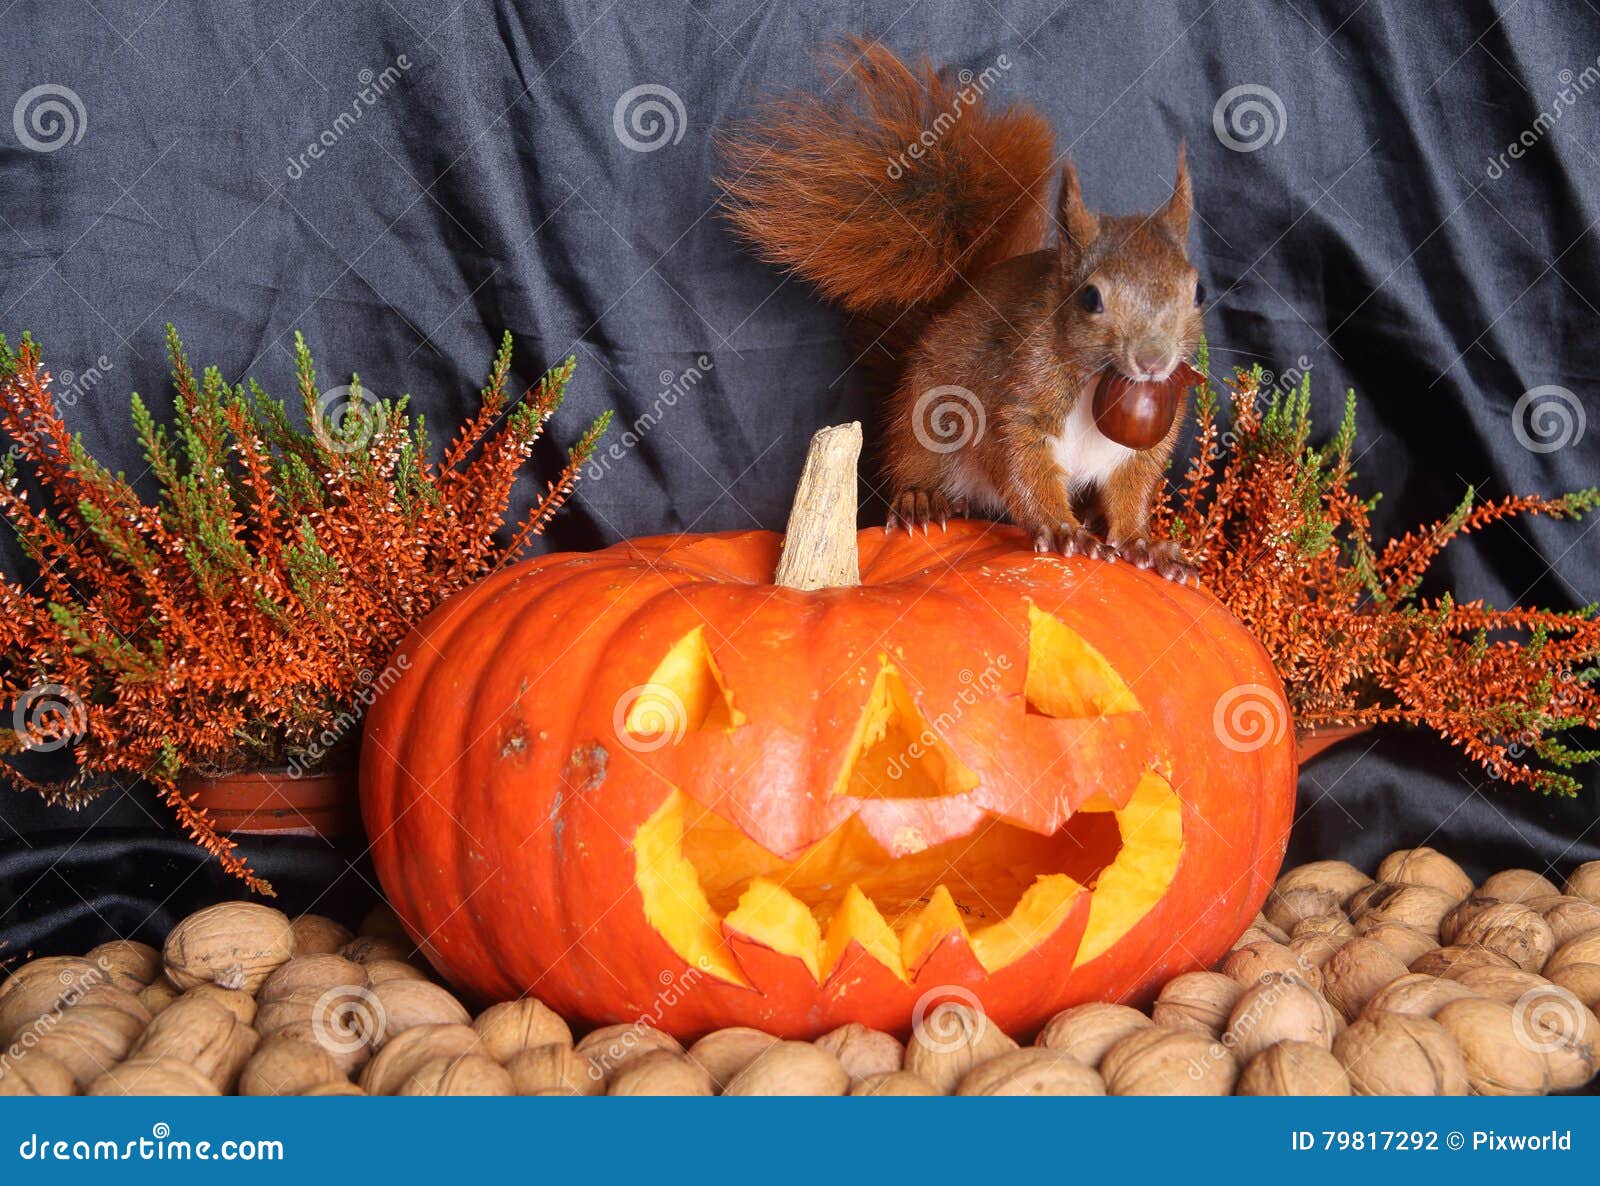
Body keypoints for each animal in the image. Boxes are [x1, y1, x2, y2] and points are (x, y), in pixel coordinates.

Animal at [719, 40, 1205, 582]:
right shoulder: (1017, 390)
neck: (1100, 381)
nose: (1154, 362)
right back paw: (921, 500)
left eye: (1197, 292)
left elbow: (1131, 490)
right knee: (912, 461)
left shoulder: (1142, 444)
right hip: (923, 412)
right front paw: (1062, 530)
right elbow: (1018, 461)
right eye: (1090, 298)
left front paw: (1144, 543)